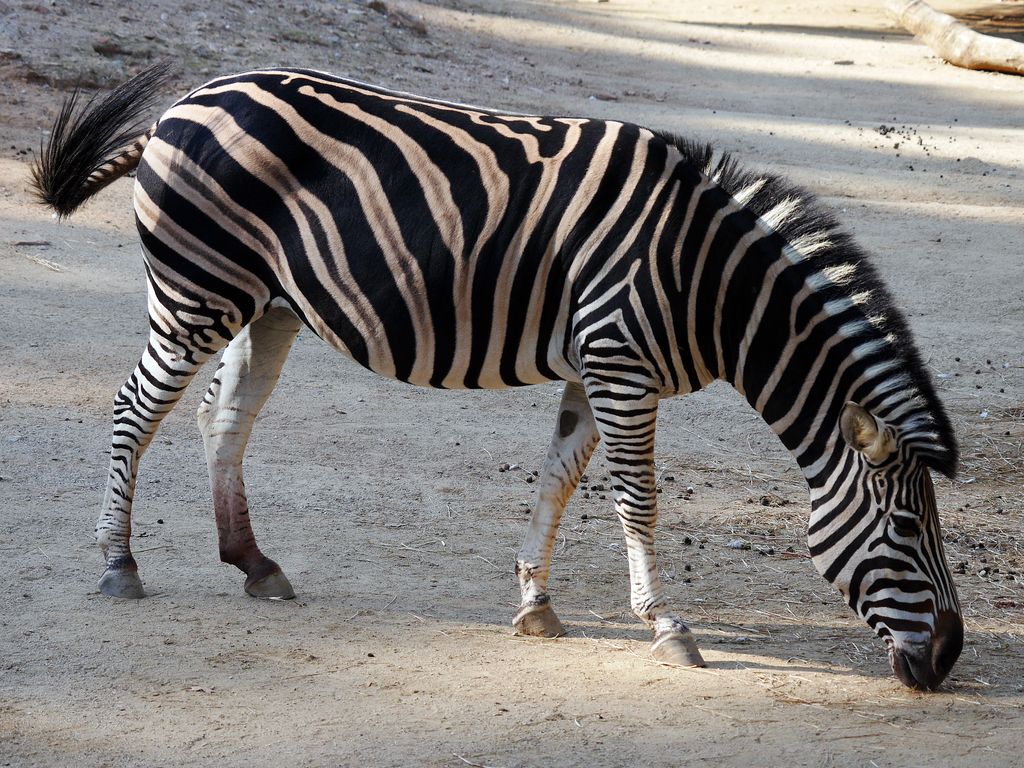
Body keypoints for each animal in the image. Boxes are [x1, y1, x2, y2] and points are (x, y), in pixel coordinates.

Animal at [32, 63, 964, 690]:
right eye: (907, 531)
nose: (951, 657)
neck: (709, 282)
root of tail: (181, 104)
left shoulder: (597, 370)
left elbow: (557, 482)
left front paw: (535, 607)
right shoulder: (620, 364)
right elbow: (638, 501)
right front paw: (667, 626)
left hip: (265, 306)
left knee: (222, 420)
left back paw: (254, 563)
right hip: (195, 291)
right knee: (133, 409)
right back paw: (119, 564)